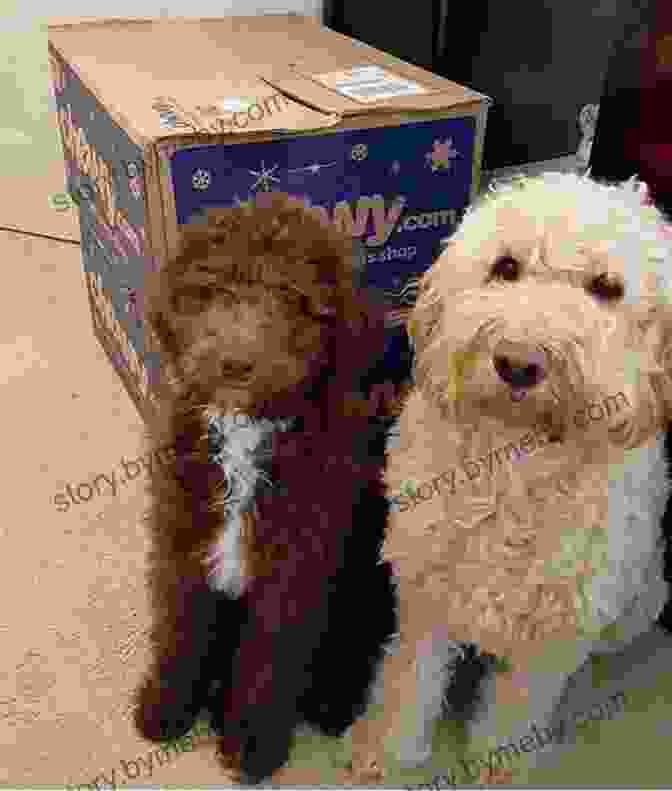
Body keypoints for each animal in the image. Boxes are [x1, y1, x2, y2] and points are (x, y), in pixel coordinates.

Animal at [352, 170, 672, 784]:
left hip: (633, 606)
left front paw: (502, 764)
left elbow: (515, 712)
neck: (515, 458)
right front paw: (389, 750)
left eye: (606, 287)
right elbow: (411, 683)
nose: (518, 363)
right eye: (505, 267)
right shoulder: (426, 600)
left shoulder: (555, 636)